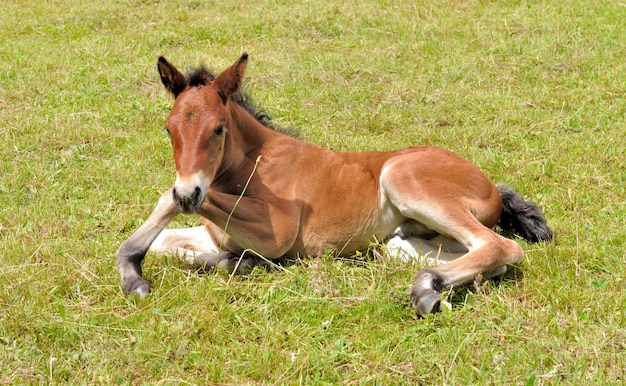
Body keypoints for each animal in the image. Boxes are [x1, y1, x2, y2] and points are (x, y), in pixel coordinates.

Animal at [114, 53, 548, 314]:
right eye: (169, 129)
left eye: (218, 128)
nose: (190, 191)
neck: (255, 164)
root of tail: (492, 187)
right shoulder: (213, 231)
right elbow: (168, 242)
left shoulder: (278, 231)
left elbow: (166, 201)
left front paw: (134, 273)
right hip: (403, 242)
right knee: (481, 258)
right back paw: (428, 283)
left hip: (402, 179)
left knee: (501, 246)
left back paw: (424, 289)